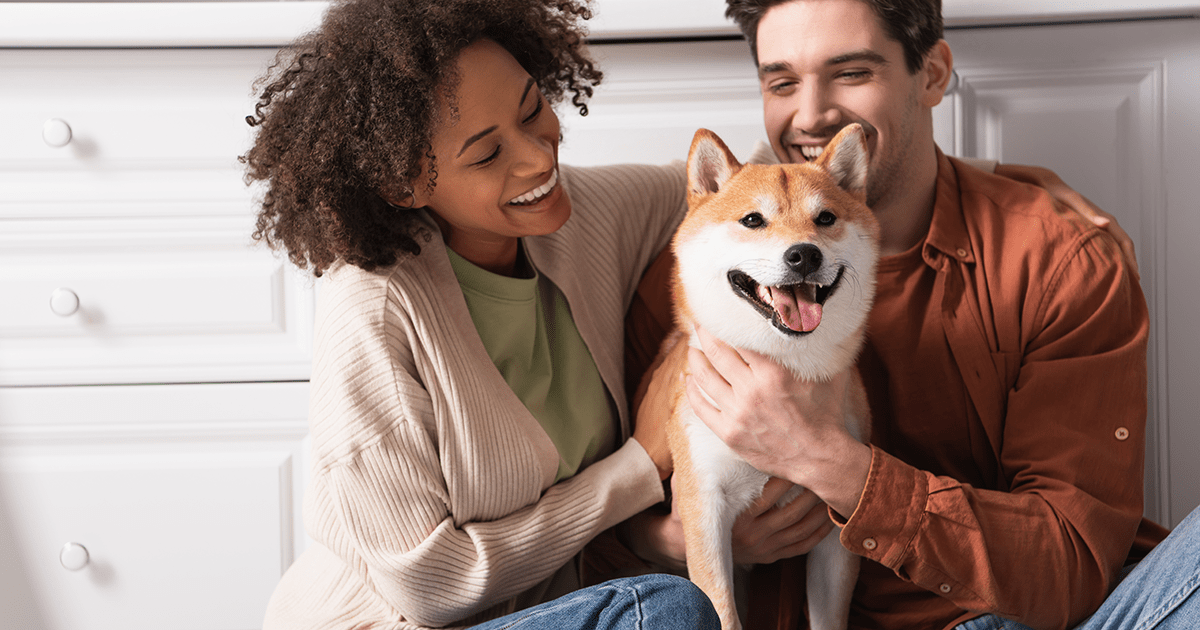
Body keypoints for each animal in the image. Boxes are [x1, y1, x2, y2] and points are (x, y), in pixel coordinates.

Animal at [643, 125, 878, 628]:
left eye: (825, 218)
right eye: (752, 220)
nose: (804, 254)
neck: (781, 367)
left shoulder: (835, 529)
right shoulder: (704, 510)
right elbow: (721, 611)